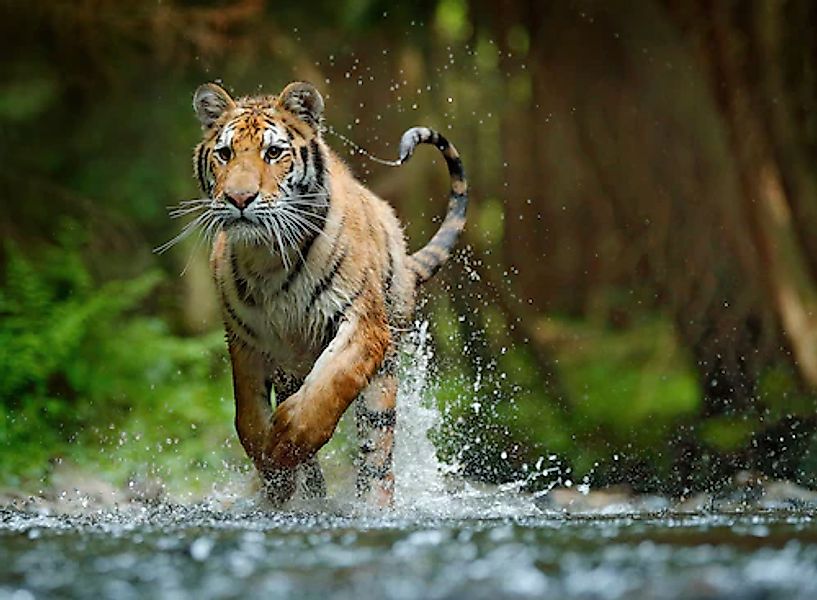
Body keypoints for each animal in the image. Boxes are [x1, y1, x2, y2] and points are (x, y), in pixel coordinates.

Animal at [168, 82, 466, 506]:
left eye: (273, 152)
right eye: (225, 153)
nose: (239, 199)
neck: (268, 258)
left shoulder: (363, 325)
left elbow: (327, 389)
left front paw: (285, 442)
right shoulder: (244, 339)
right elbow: (248, 416)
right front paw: (273, 470)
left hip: (383, 378)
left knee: (377, 455)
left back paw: (373, 506)